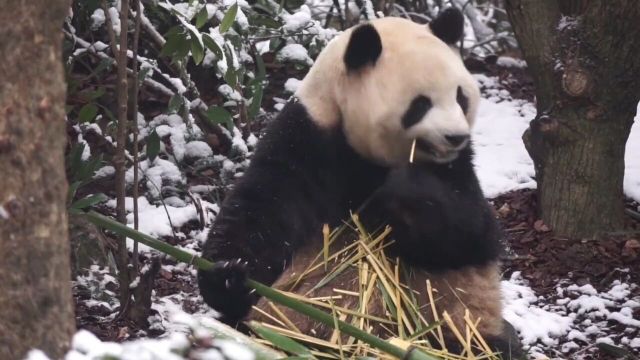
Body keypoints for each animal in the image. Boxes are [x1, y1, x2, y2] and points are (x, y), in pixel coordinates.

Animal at [201, 7, 524, 358]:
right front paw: (228, 276)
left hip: (462, 320)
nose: (456, 136)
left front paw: (406, 190)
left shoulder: (458, 168)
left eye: (460, 97)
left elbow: (470, 234)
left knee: (493, 345)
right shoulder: (307, 138)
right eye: (421, 104)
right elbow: (262, 209)